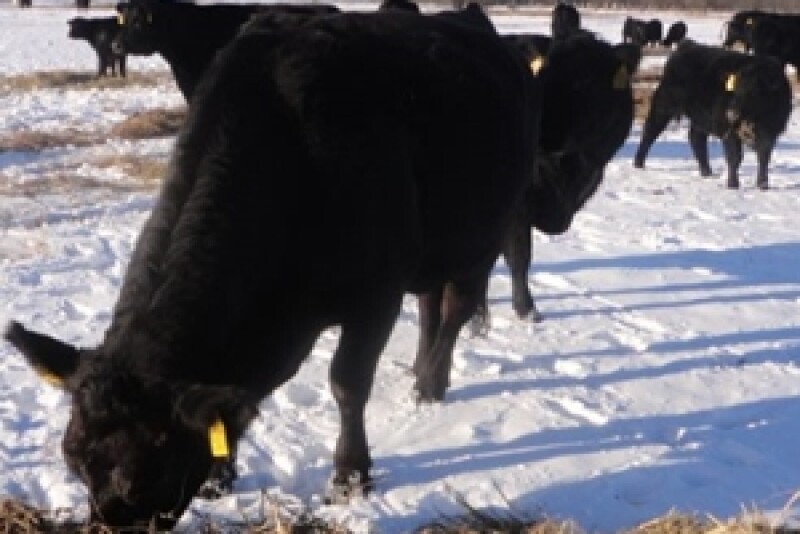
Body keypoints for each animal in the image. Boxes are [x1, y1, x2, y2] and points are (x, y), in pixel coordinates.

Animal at [634, 40, 792, 190]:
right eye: (735, 90)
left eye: (754, 92)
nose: (731, 112)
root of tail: (688, 45)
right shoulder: (729, 131)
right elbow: (735, 157)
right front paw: (733, 184)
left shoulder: (770, 132)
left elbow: (763, 157)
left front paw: (763, 185)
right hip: (664, 104)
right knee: (650, 131)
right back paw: (638, 164)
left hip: (699, 118)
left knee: (696, 139)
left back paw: (707, 172)